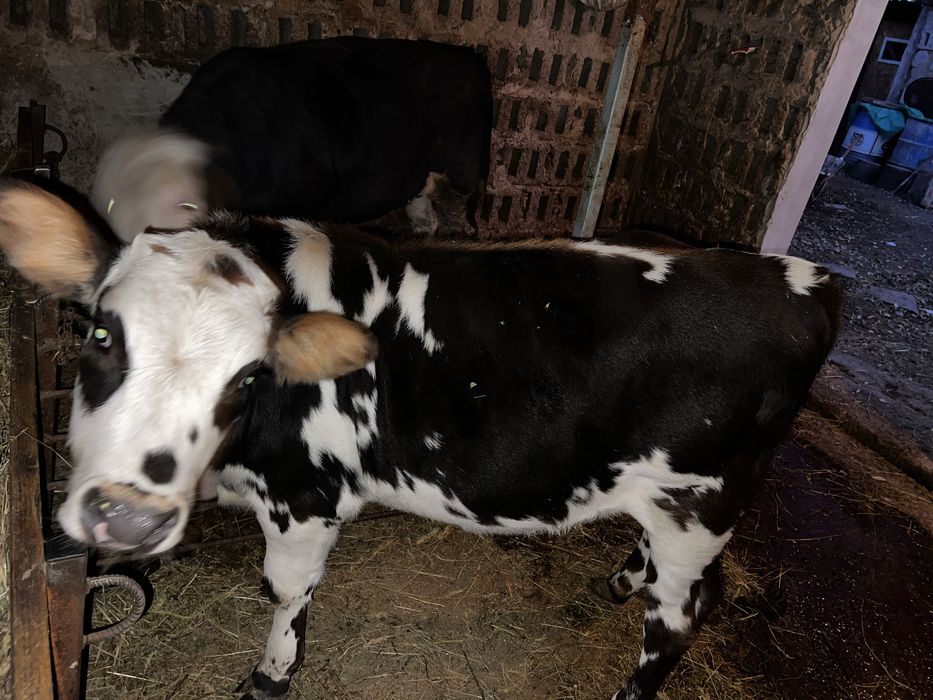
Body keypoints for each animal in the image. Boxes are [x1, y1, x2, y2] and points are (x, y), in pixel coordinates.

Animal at [0, 180, 841, 700]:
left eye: (247, 377)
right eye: (101, 334)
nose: (124, 515)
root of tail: (807, 280)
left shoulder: (306, 497)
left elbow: (286, 592)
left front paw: (271, 675)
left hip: (697, 504)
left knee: (679, 616)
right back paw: (616, 581)